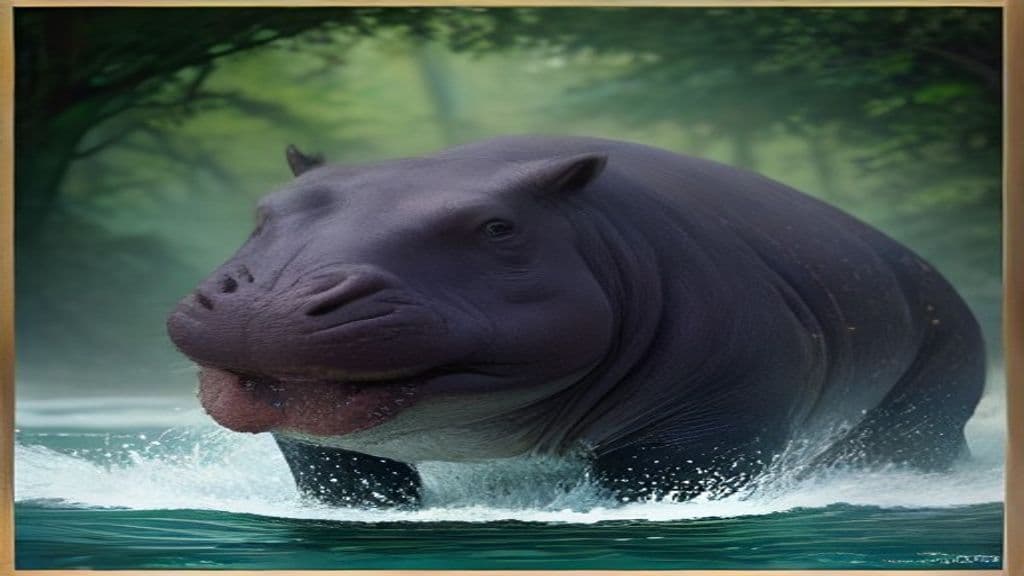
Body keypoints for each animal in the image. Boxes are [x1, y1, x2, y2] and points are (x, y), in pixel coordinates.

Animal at [166, 135, 985, 507]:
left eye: (497, 228)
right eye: (264, 213)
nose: (268, 299)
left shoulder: (701, 428)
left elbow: (666, 482)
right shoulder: (320, 446)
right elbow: (349, 479)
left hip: (930, 405)